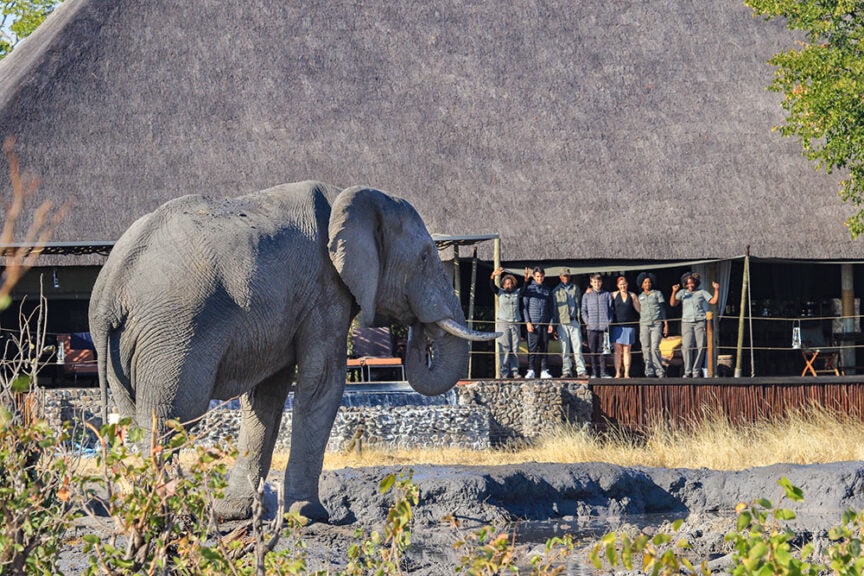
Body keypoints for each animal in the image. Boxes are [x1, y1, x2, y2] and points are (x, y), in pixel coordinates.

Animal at [88, 180, 497, 522]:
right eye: (425, 257)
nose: (418, 331)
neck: (348, 196)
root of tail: (110, 289)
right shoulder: (324, 288)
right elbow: (322, 381)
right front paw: (311, 515)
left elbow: (267, 397)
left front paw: (237, 513)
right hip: (174, 331)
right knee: (171, 419)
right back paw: (164, 513)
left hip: (128, 345)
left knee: (136, 420)